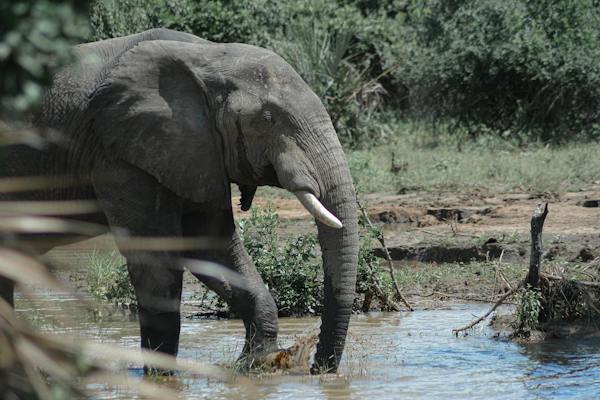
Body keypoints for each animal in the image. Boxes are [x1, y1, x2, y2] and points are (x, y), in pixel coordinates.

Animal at [0, 28, 358, 376]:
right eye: (269, 118)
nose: (318, 368)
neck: (209, 57)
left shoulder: (197, 151)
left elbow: (211, 246)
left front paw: (256, 364)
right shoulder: (120, 152)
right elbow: (157, 257)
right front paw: (161, 378)